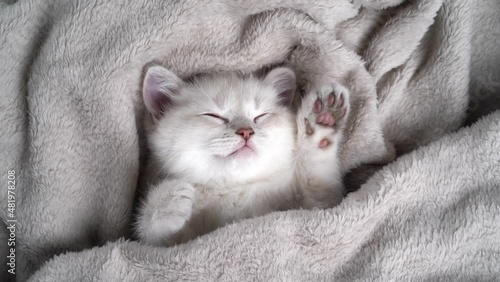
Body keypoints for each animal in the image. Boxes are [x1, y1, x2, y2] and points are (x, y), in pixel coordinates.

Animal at [135, 66, 350, 247]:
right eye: (213, 116)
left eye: (260, 116)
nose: (246, 131)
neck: (232, 189)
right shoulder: (163, 247)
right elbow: (150, 241)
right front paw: (166, 202)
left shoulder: (318, 207)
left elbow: (320, 184)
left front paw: (323, 120)